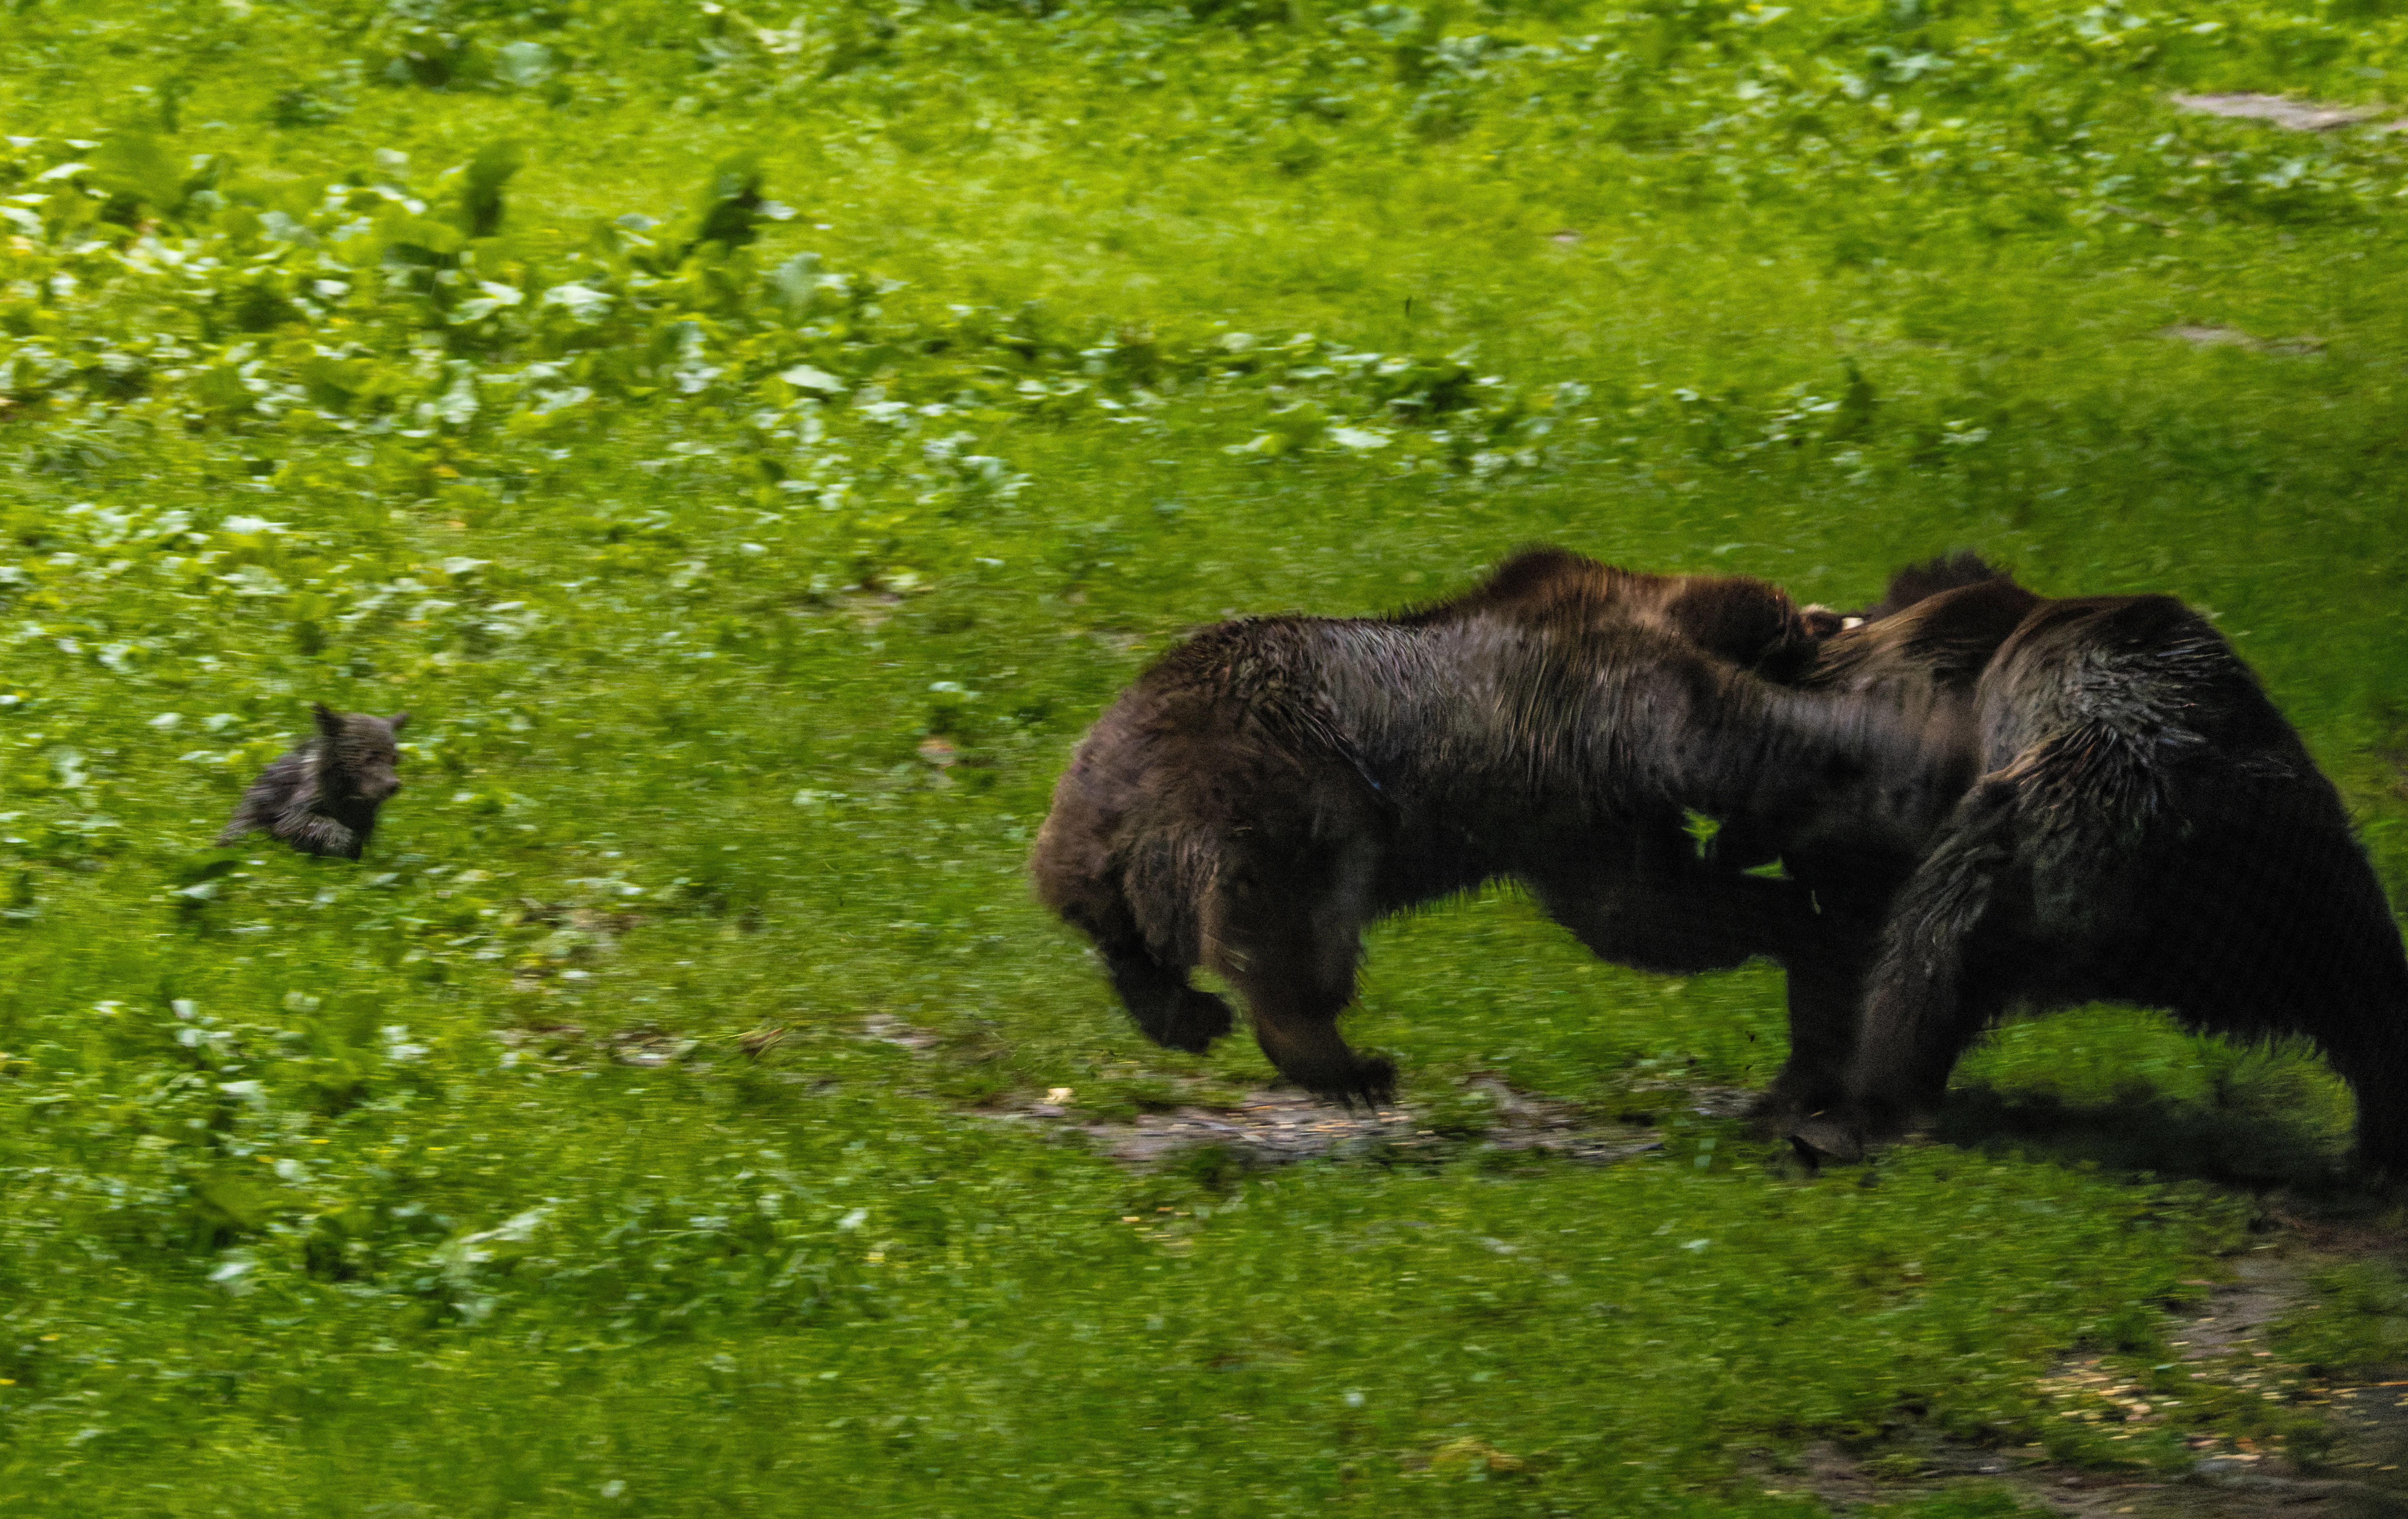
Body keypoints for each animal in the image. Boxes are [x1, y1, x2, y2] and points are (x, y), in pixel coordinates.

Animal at [217, 703, 409, 861]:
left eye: (395, 759)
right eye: (370, 757)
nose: (393, 785)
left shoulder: (364, 815)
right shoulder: (295, 806)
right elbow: (305, 823)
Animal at [1031, 548, 1968, 1107]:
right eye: (1806, 617)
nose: (1831, 615)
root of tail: (1105, 806)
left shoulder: (1577, 815)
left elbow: (1651, 910)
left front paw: (1784, 911)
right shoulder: (1603, 702)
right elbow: (1726, 757)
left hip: (1105, 850)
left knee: (1126, 941)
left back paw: (1182, 1012)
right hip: (1284, 805)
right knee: (1298, 942)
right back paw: (1345, 1062)